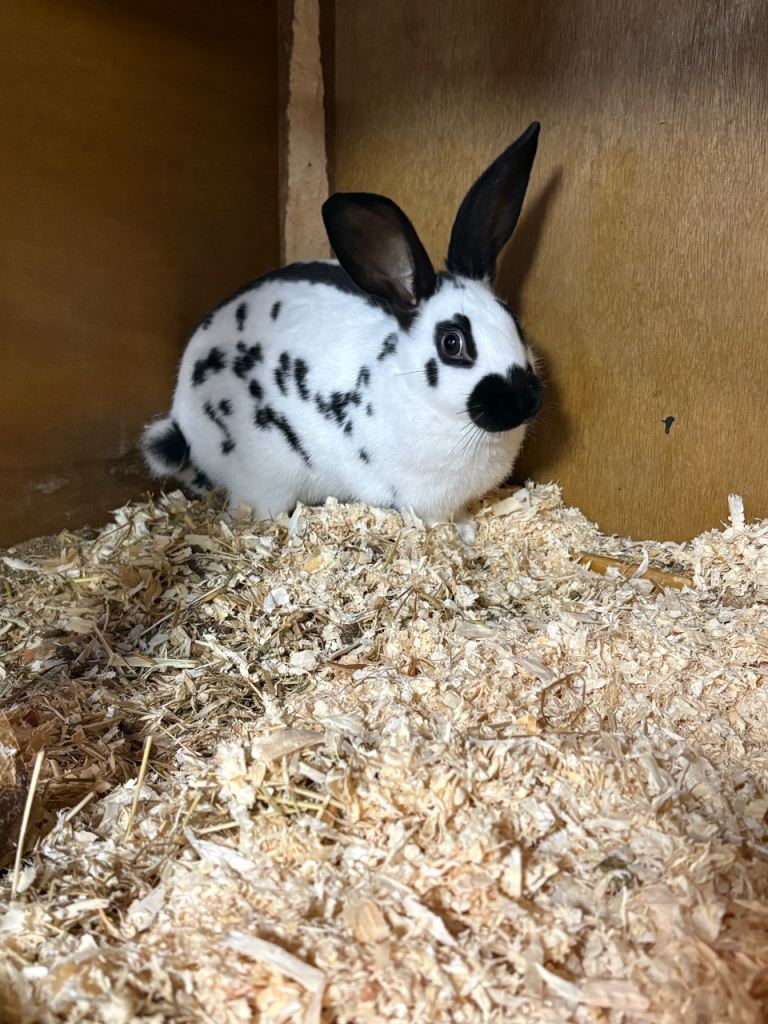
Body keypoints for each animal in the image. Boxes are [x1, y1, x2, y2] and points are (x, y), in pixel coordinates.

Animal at [141, 121, 544, 541]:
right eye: (452, 343)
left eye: (513, 320)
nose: (524, 401)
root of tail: (183, 418)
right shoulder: (425, 499)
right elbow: (435, 521)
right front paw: (459, 540)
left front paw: (467, 531)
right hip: (266, 478)